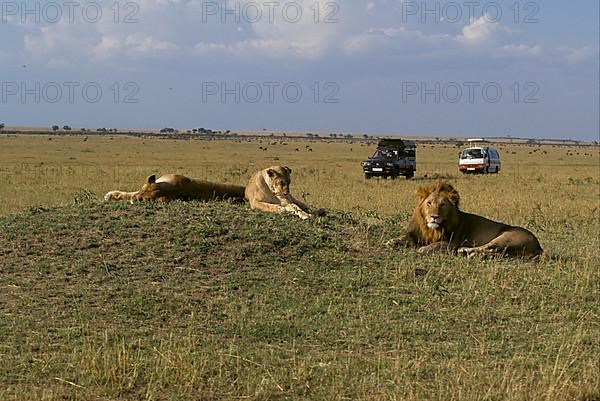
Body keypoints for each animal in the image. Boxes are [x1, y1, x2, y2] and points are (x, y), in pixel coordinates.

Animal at [386, 180, 540, 258]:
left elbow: (435, 245)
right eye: (429, 203)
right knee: (493, 251)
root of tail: (539, 247)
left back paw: (465, 251)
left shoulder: (451, 243)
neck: (432, 229)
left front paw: (424, 248)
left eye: (442, 205)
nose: (434, 217)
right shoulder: (419, 234)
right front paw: (393, 241)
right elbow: (407, 237)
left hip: (506, 237)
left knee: (488, 247)